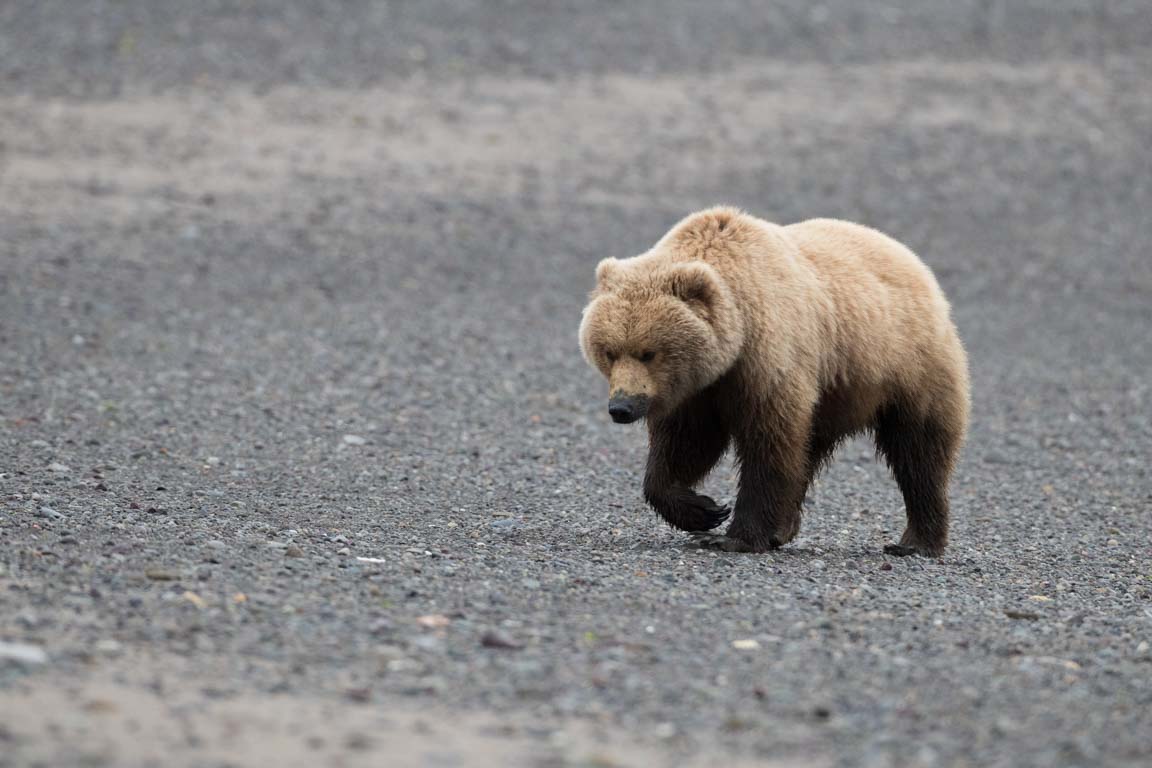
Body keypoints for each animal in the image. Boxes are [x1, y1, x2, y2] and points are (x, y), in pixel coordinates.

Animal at [580, 208, 967, 559]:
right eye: (609, 351)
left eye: (648, 352)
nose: (622, 407)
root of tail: (912, 260)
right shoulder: (696, 391)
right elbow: (684, 444)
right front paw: (702, 510)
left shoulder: (769, 363)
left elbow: (769, 447)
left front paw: (734, 536)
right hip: (833, 394)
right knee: (811, 449)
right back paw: (783, 528)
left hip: (905, 366)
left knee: (919, 451)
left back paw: (915, 542)